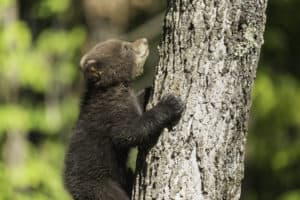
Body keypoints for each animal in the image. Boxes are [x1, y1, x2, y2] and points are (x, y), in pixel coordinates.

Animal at [64, 39, 184, 200]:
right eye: (125, 48)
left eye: (125, 43)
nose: (144, 41)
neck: (114, 87)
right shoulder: (111, 112)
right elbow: (128, 133)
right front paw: (170, 103)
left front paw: (148, 90)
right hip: (99, 185)